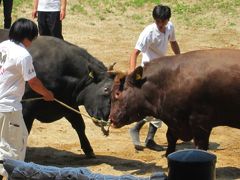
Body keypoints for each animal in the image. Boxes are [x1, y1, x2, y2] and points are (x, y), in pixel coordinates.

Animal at [0, 30, 115, 158]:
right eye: (106, 89)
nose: (107, 116)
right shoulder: (26, 108)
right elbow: (24, 131)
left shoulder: (68, 104)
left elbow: (79, 125)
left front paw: (89, 150)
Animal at [109, 48, 240, 155]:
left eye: (117, 93)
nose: (112, 119)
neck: (171, 80)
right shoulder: (174, 121)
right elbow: (170, 139)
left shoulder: (201, 124)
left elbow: (200, 148)